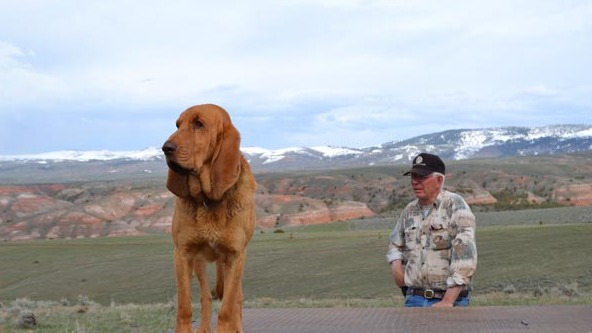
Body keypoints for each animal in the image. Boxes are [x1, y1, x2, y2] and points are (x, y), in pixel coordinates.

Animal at [162, 104, 256, 332]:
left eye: (199, 124)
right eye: (177, 125)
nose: (166, 148)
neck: (209, 200)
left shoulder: (235, 257)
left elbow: (227, 309)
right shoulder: (183, 254)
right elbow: (184, 307)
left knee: (236, 300)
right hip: (199, 262)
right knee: (205, 296)